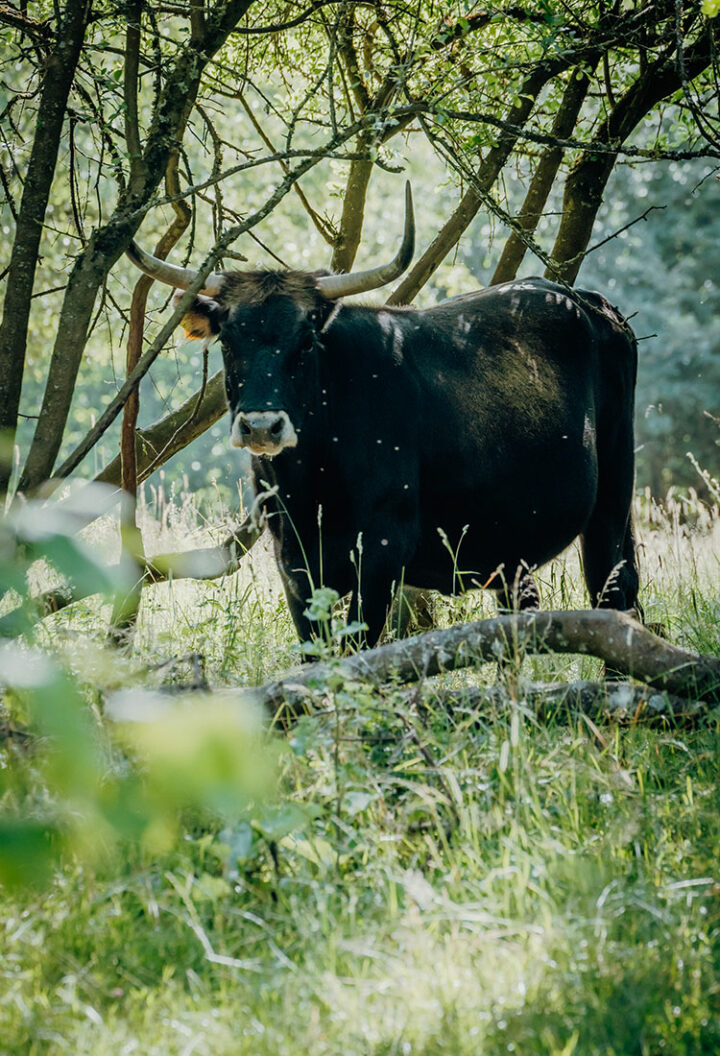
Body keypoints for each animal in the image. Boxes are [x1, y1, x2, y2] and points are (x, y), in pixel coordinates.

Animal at [126, 252, 637, 646]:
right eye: (229, 341)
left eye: (305, 342)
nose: (262, 426)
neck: (312, 481)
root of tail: (586, 301)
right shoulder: (293, 560)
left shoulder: (380, 554)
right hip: (511, 546)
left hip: (613, 498)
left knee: (616, 591)